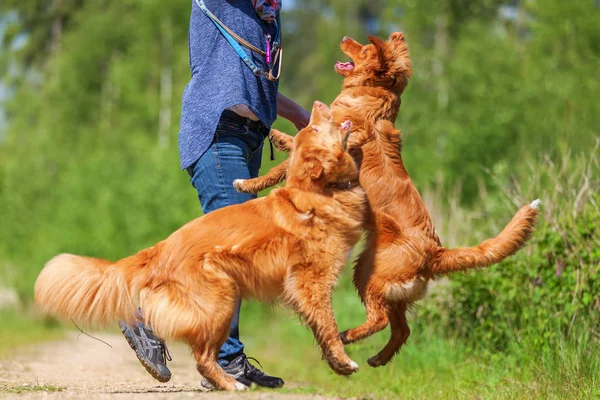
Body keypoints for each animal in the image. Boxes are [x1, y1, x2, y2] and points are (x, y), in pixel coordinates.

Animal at [37, 102, 368, 390]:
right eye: (314, 128)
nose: (316, 105)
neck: (315, 192)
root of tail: (161, 248)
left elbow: (319, 329)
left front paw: (335, 364)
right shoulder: (312, 282)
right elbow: (328, 323)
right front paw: (344, 361)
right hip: (222, 300)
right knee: (203, 358)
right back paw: (231, 383)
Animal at [233, 32, 540, 368]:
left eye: (365, 49)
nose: (344, 37)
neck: (372, 93)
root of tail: (435, 252)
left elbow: (281, 165)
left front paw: (249, 181)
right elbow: (293, 143)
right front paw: (275, 136)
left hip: (367, 272)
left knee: (380, 320)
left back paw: (347, 336)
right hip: (389, 287)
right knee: (403, 329)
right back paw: (378, 358)